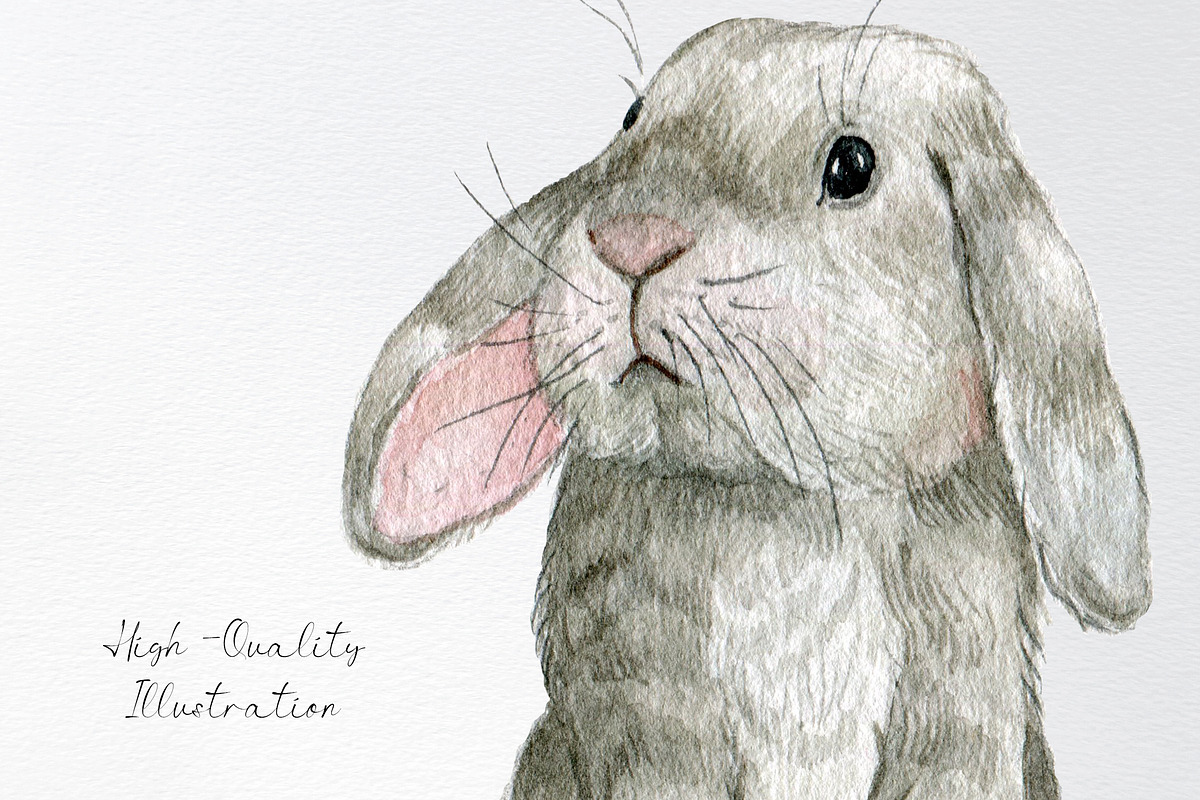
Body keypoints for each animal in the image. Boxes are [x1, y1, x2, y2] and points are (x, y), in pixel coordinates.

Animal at [342, 17, 1151, 800]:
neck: (786, 507)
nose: (630, 240)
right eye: (632, 120)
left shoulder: (961, 682)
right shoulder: (641, 694)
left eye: (852, 165)